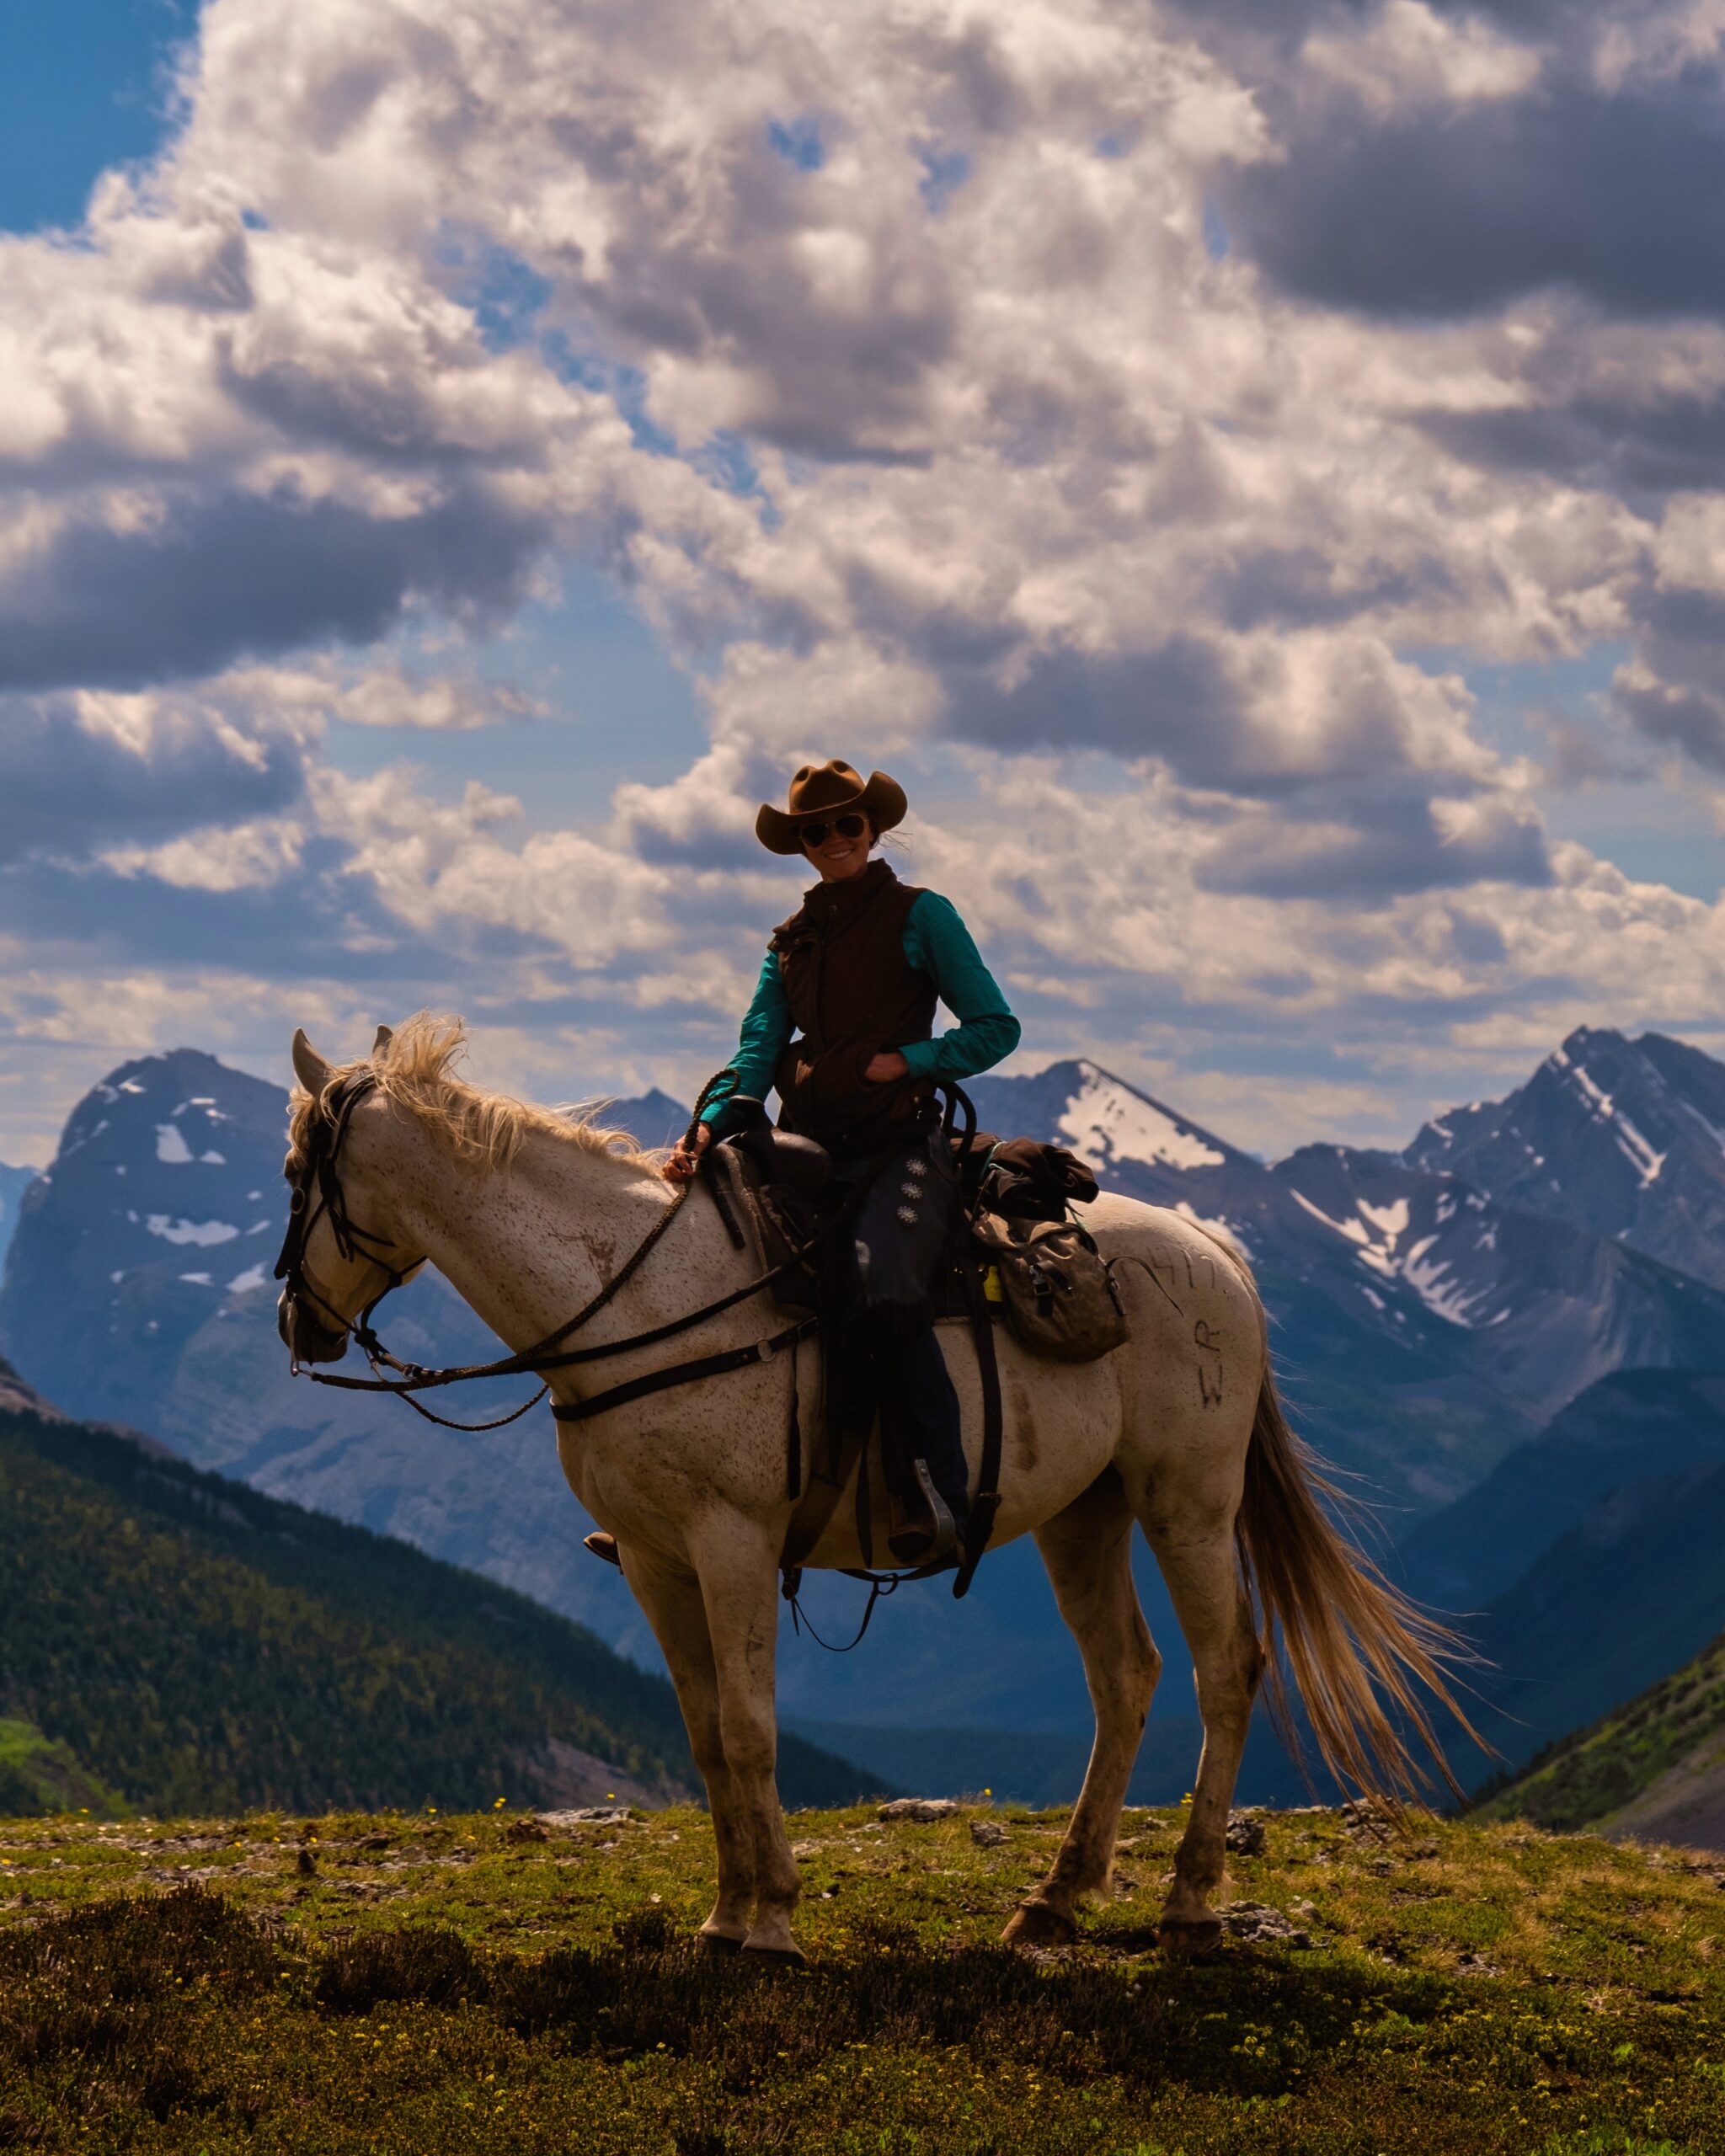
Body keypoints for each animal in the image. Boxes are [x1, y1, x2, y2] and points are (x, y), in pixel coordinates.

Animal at [280, 1017, 1457, 1966]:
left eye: (298, 1169)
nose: (297, 1324)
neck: (634, 1300)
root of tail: (1215, 1250)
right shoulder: (654, 1562)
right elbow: (704, 1736)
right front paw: (722, 1916)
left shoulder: (733, 1544)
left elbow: (749, 1729)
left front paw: (770, 1924)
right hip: (1086, 1513)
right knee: (1125, 1676)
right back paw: (1053, 1901)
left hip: (1187, 1502)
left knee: (1225, 1669)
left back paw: (1190, 1907)